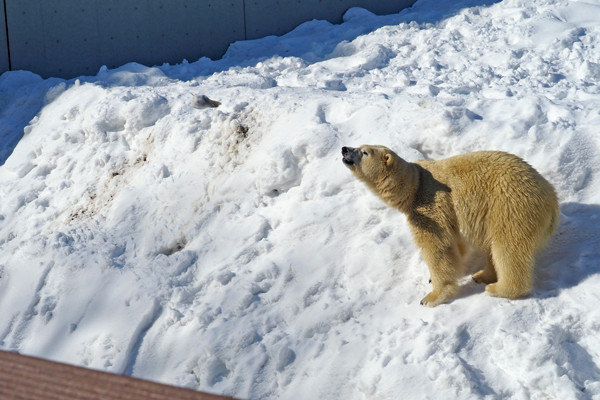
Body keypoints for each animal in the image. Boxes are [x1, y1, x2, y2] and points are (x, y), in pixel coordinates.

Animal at [344, 145, 560, 308]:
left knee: (508, 248)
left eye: (364, 152)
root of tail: (552, 200)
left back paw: (499, 289)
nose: (344, 149)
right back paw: (482, 275)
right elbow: (455, 243)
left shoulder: (428, 207)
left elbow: (437, 247)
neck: (415, 184)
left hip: (512, 206)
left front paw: (431, 297)